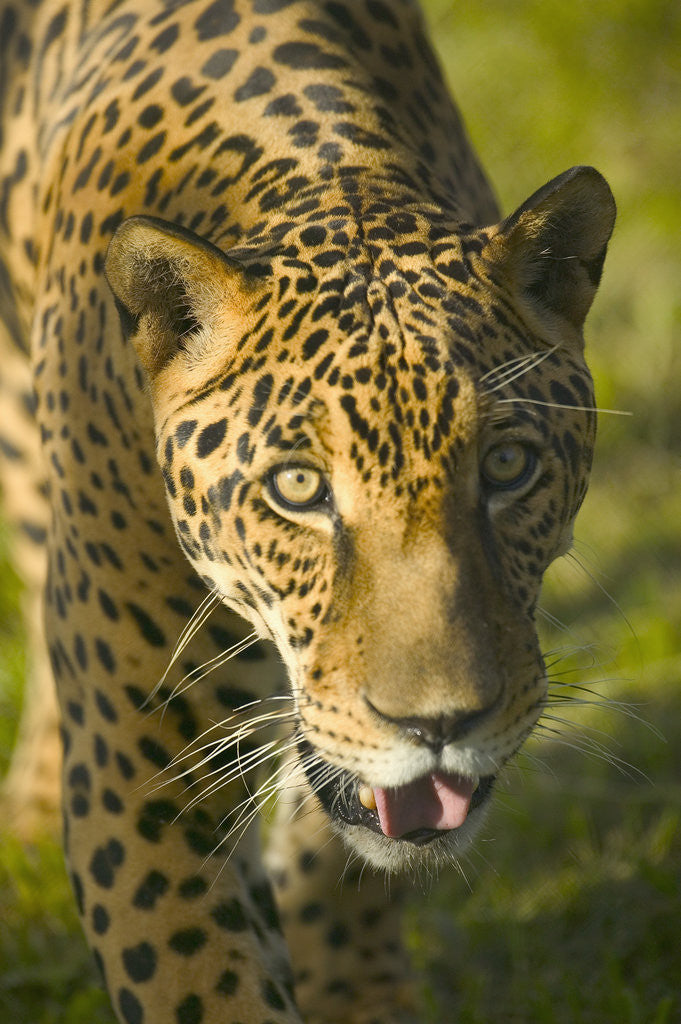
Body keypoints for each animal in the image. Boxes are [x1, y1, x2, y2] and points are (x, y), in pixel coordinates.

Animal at [0, 0, 616, 1021]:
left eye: (507, 466)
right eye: (297, 489)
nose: (440, 726)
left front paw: (356, 987)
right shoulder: (144, 763)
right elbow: (203, 986)